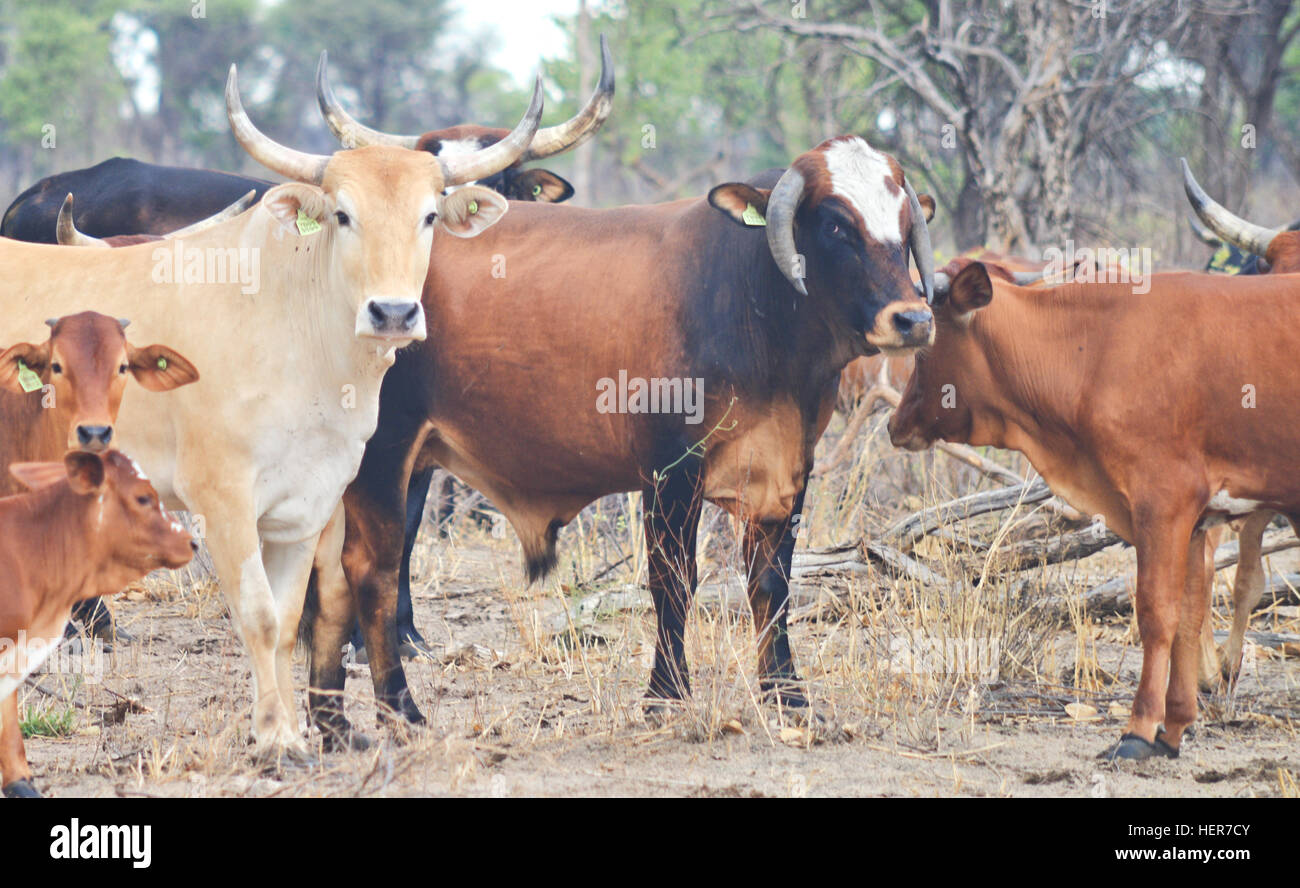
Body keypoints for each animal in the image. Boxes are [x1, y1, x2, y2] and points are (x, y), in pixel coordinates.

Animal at [889, 258, 1300, 764]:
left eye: (923, 352)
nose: (894, 424)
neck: (1097, 347)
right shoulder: (1195, 522)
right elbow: (1189, 616)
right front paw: (1174, 728)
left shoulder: (1163, 502)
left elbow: (1156, 614)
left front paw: (1139, 729)